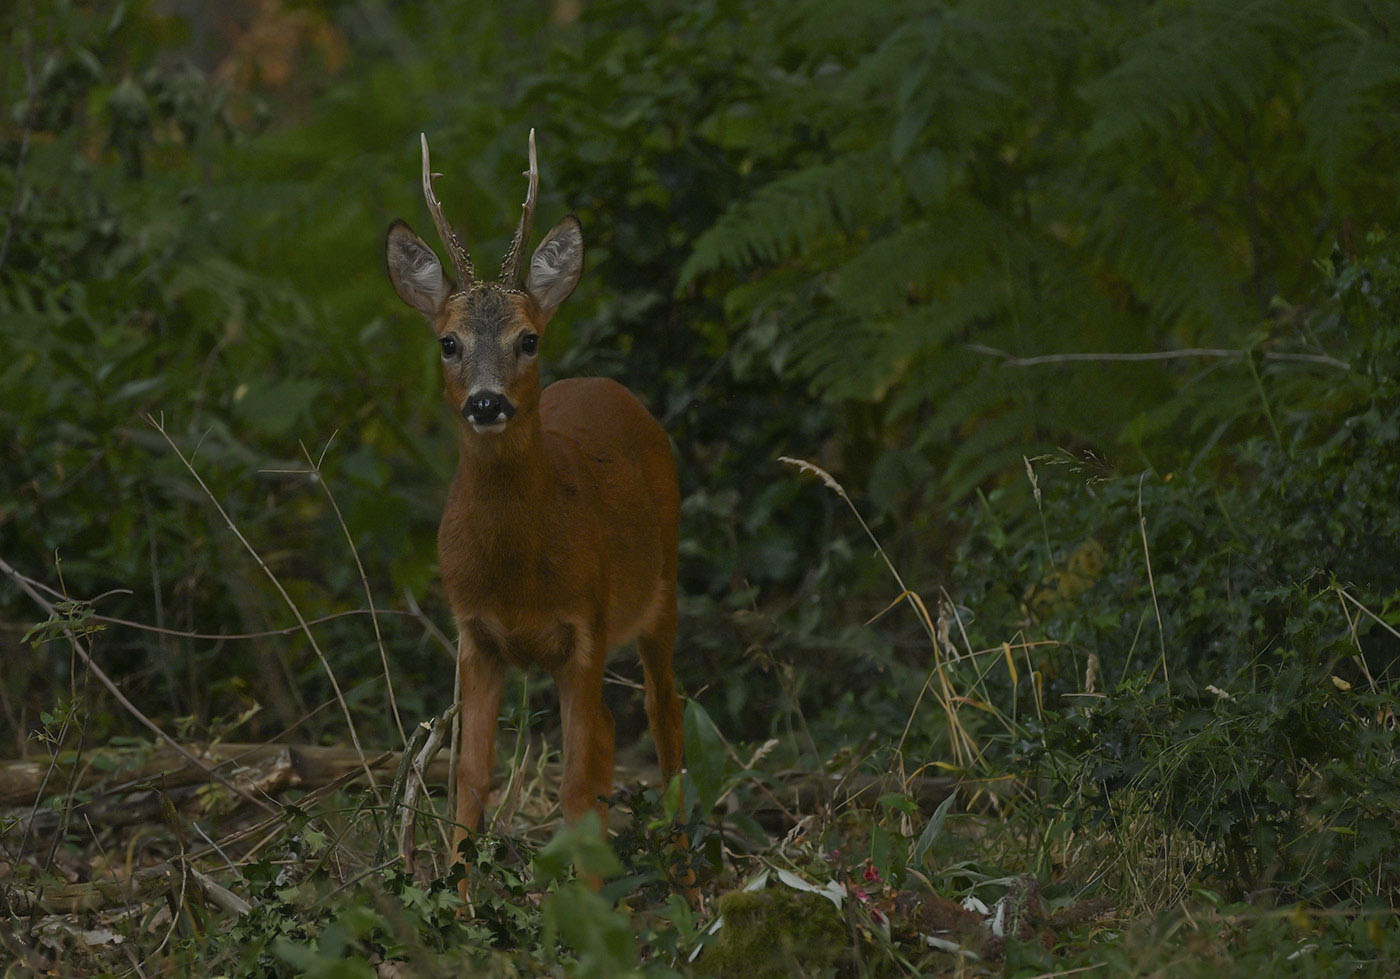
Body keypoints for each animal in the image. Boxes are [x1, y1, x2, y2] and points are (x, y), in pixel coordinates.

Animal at [383, 132, 688, 862]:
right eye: (448, 341)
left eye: (529, 338)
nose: (487, 402)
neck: (517, 575)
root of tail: (610, 386)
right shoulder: (474, 636)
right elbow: (469, 777)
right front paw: (455, 881)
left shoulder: (587, 629)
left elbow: (579, 781)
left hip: (662, 588)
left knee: (665, 714)